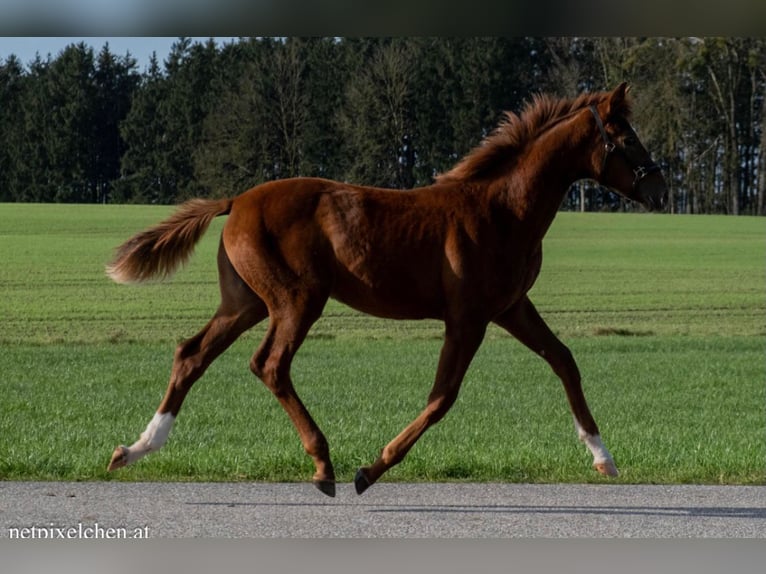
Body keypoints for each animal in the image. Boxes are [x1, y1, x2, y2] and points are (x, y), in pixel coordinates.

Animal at [106, 83, 664, 498]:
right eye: (626, 138)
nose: (660, 188)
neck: (502, 210)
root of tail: (237, 200)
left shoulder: (510, 307)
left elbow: (564, 359)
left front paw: (603, 457)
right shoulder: (468, 316)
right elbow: (443, 396)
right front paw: (370, 470)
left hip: (245, 301)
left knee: (192, 353)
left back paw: (135, 448)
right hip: (296, 299)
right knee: (269, 364)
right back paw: (324, 464)